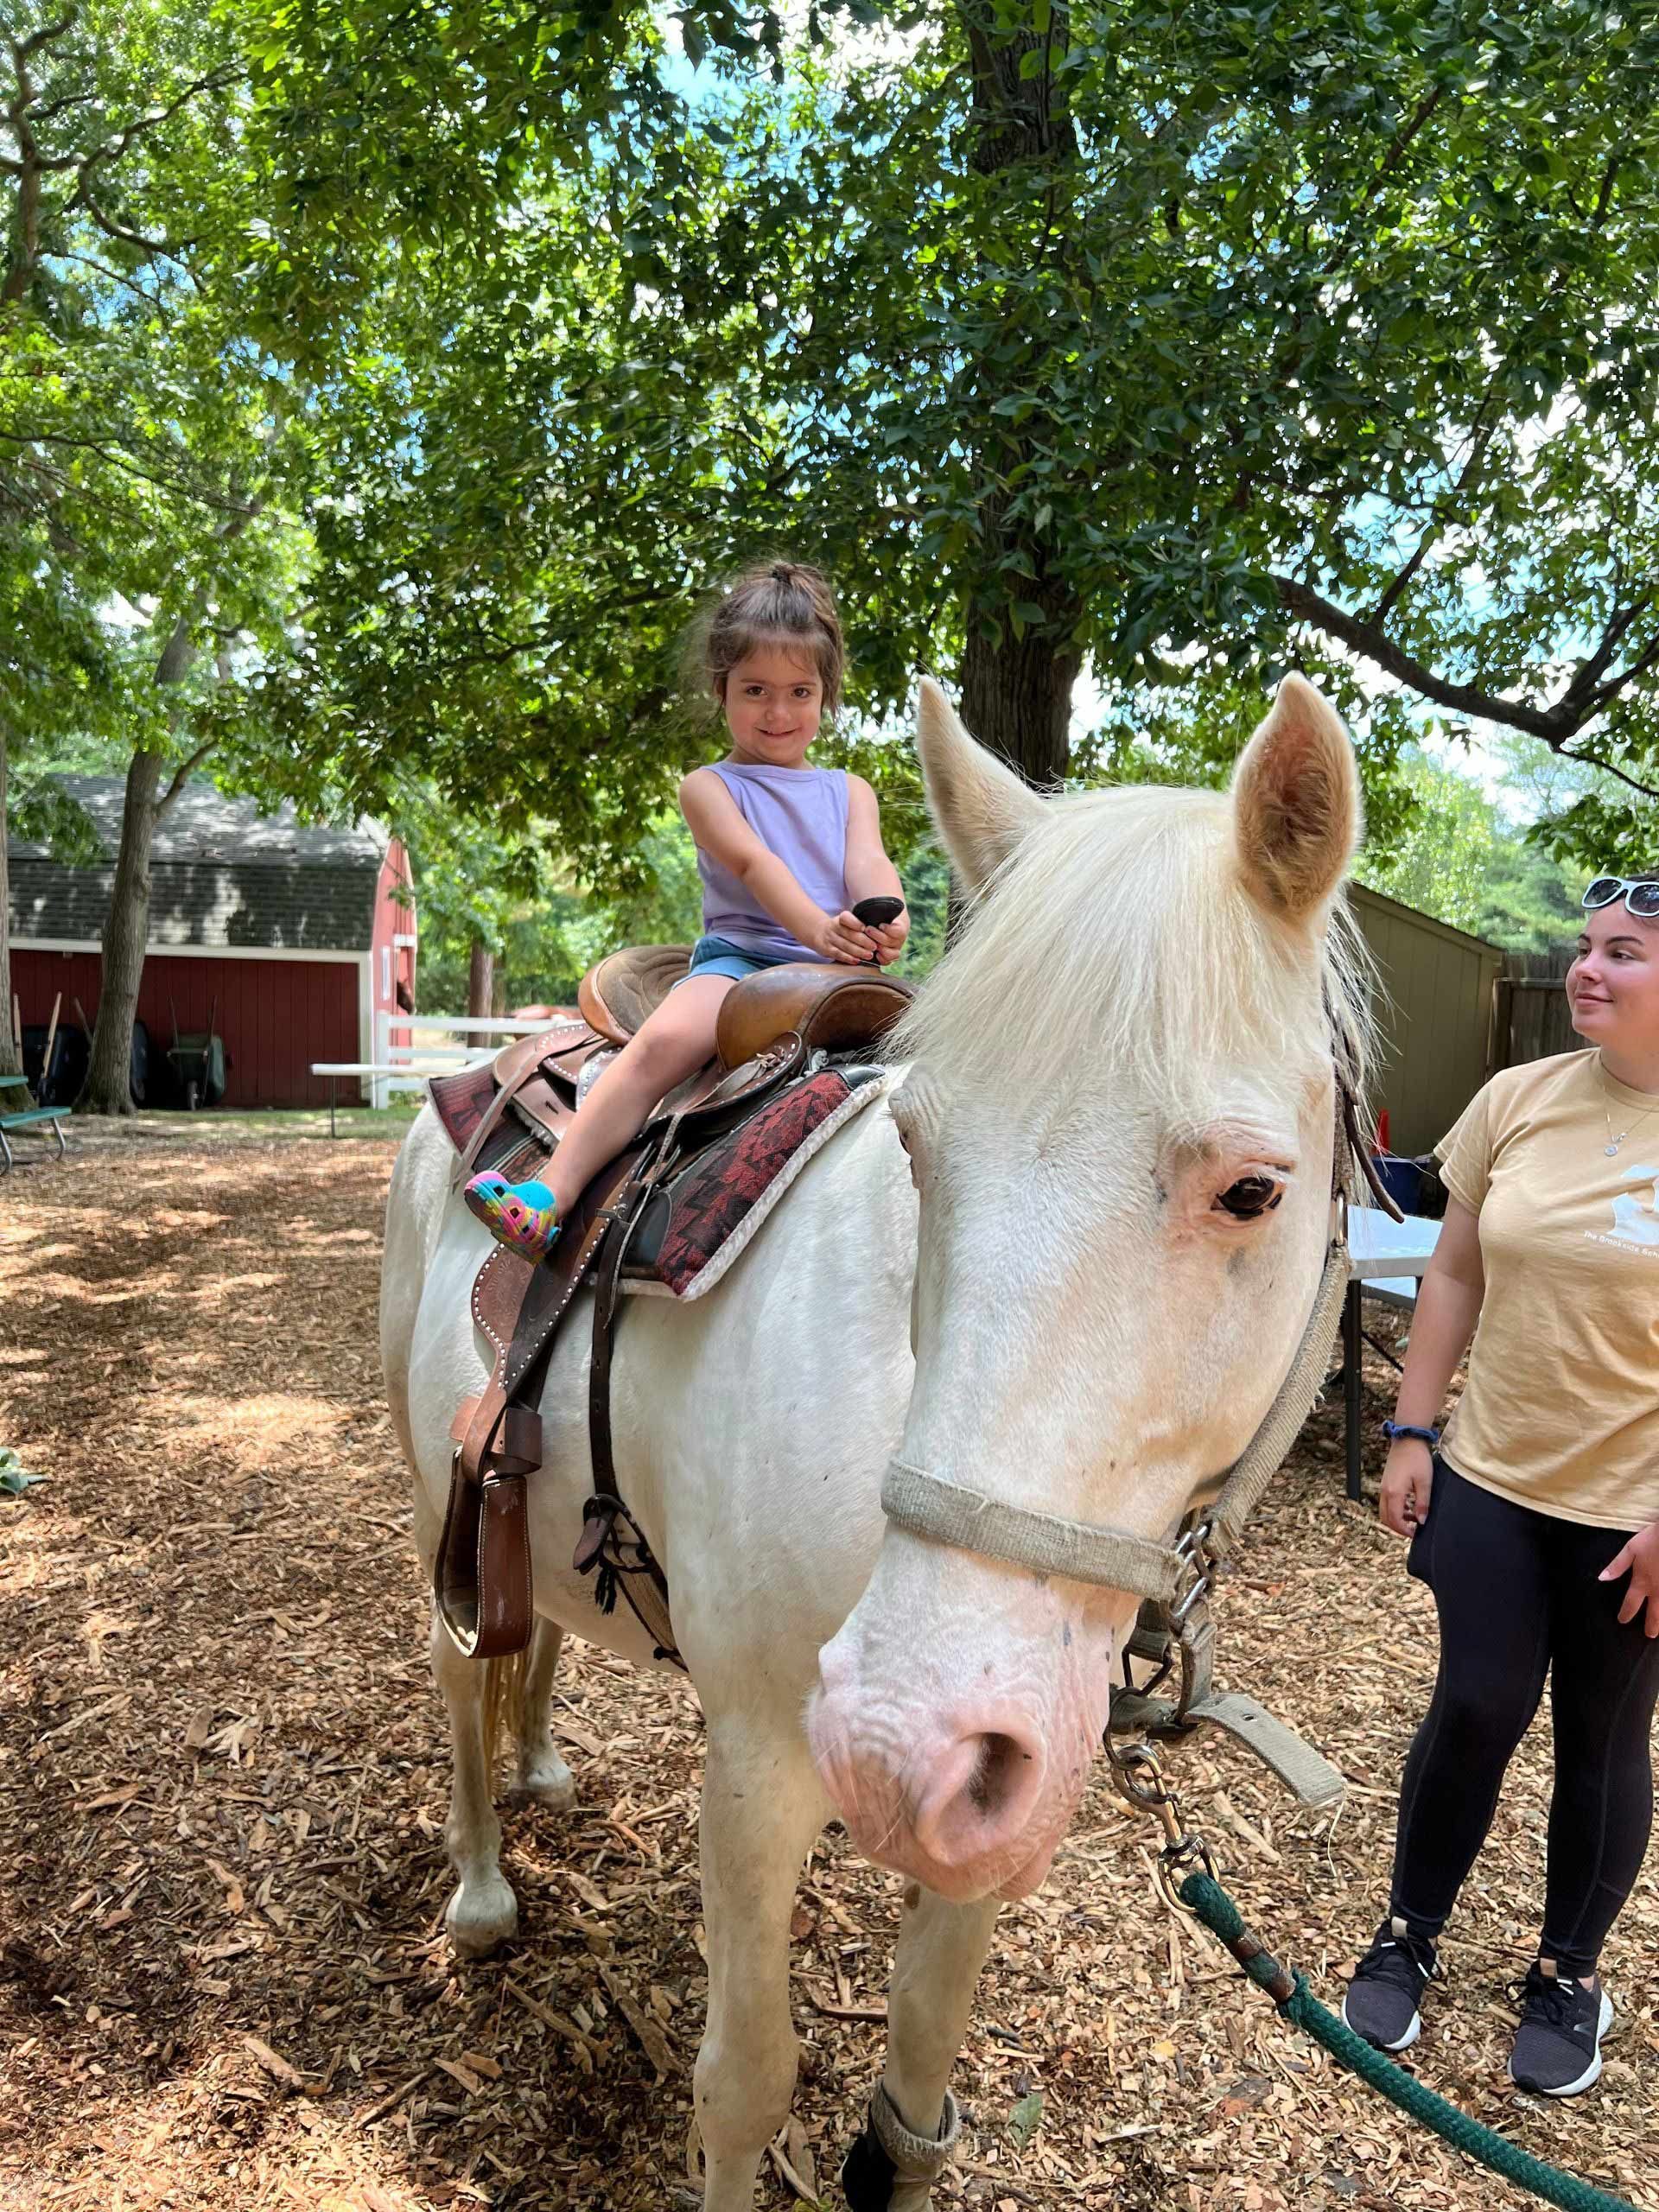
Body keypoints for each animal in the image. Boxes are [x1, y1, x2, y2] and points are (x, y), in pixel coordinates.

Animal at [382, 672, 1371, 2212]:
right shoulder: (757, 1765)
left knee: (531, 1629)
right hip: (440, 1487)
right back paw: (482, 1884)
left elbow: (917, 2069)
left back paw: (540, 1762)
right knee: (454, 1668)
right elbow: (744, 2084)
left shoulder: (1001, 1798)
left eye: (1256, 1190)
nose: (904, 1748)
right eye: (916, 1148)